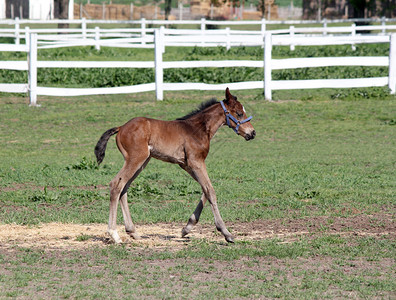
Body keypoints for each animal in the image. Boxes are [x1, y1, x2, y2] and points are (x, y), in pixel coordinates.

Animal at [96, 87, 256, 244]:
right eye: (239, 113)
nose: (252, 133)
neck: (198, 129)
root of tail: (121, 127)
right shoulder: (196, 162)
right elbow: (210, 191)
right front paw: (226, 233)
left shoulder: (186, 165)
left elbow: (205, 189)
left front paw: (187, 228)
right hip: (136, 159)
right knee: (116, 184)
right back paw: (114, 234)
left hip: (142, 162)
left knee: (124, 188)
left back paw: (133, 231)